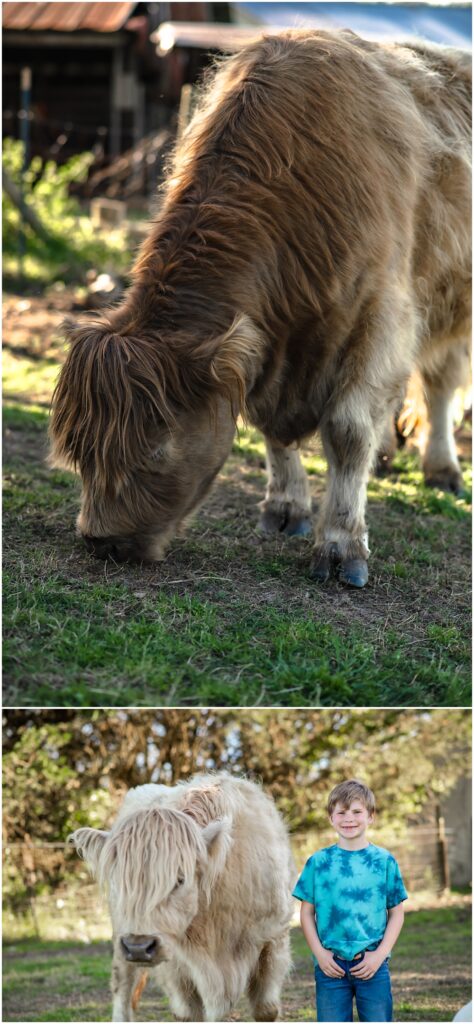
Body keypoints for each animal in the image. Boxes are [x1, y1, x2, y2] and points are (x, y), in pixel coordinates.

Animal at [50, 29, 472, 585]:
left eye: (156, 448)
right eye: (80, 449)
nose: (100, 541)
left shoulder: (379, 316)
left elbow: (348, 430)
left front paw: (340, 545)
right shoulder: (270, 344)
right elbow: (274, 427)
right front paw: (286, 508)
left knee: (441, 384)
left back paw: (442, 469)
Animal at [70, 774, 294, 1024]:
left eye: (179, 879)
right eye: (119, 882)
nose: (138, 947)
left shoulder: (273, 938)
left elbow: (266, 1009)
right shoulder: (175, 963)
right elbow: (188, 1013)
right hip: (121, 934)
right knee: (122, 983)